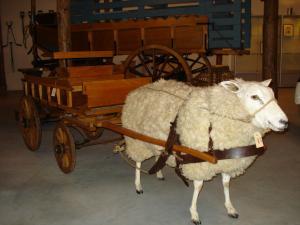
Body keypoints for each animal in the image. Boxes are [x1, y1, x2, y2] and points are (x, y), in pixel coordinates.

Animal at [120, 78, 288, 224]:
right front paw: (194, 214)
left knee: (159, 154)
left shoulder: (227, 160)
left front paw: (230, 208)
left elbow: (226, 184)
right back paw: (138, 185)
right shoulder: (199, 162)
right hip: (136, 139)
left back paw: (159, 173)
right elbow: (198, 186)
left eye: (273, 95)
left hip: (156, 140)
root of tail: (137, 90)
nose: (284, 122)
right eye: (254, 96)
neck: (216, 117)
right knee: (138, 162)